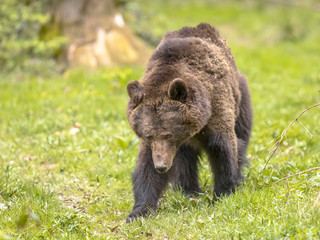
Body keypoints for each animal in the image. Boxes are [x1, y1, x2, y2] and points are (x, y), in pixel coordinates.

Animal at [125, 23, 252, 222]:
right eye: (149, 135)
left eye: (168, 134)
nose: (161, 166)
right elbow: (146, 168)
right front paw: (139, 211)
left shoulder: (217, 109)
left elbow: (223, 149)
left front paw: (223, 194)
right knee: (185, 161)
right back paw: (190, 191)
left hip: (241, 97)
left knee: (242, 136)